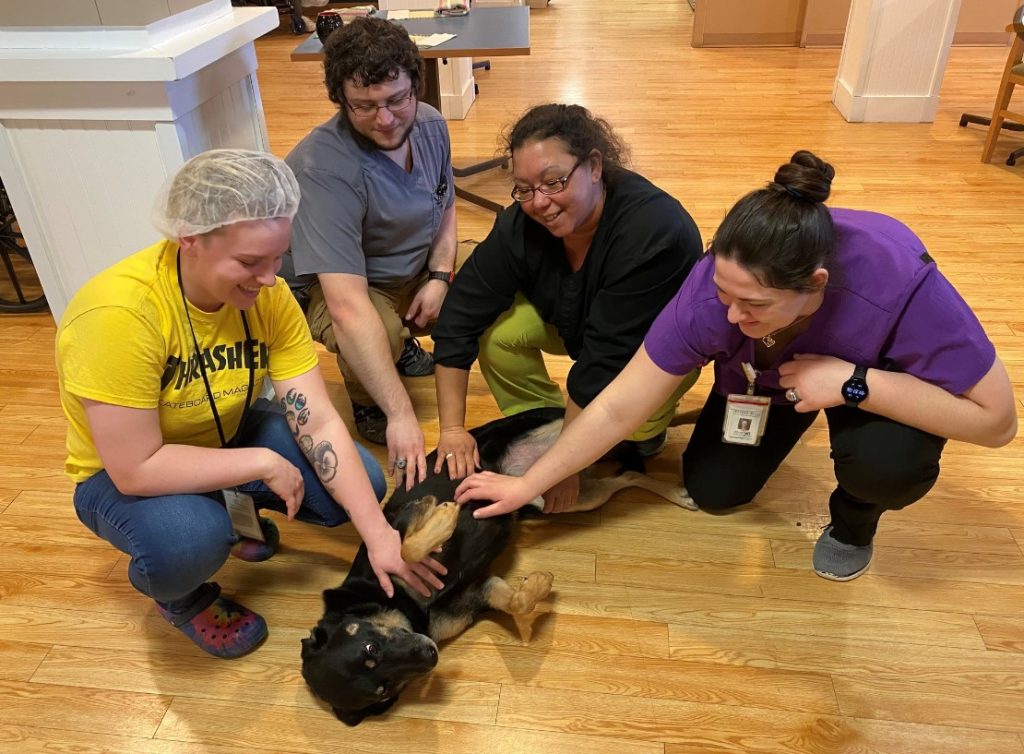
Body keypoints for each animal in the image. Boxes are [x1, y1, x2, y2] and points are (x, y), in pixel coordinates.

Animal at [299, 409, 692, 729]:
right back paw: (676, 490)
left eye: (370, 650)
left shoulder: (394, 527)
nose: (431, 654)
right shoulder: (481, 591)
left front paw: (442, 516)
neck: (407, 611)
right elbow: (517, 602)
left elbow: (409, 547)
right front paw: (539, 584)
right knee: (627, 476)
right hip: (566, 495)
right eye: (383, 689)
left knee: (631, 441)